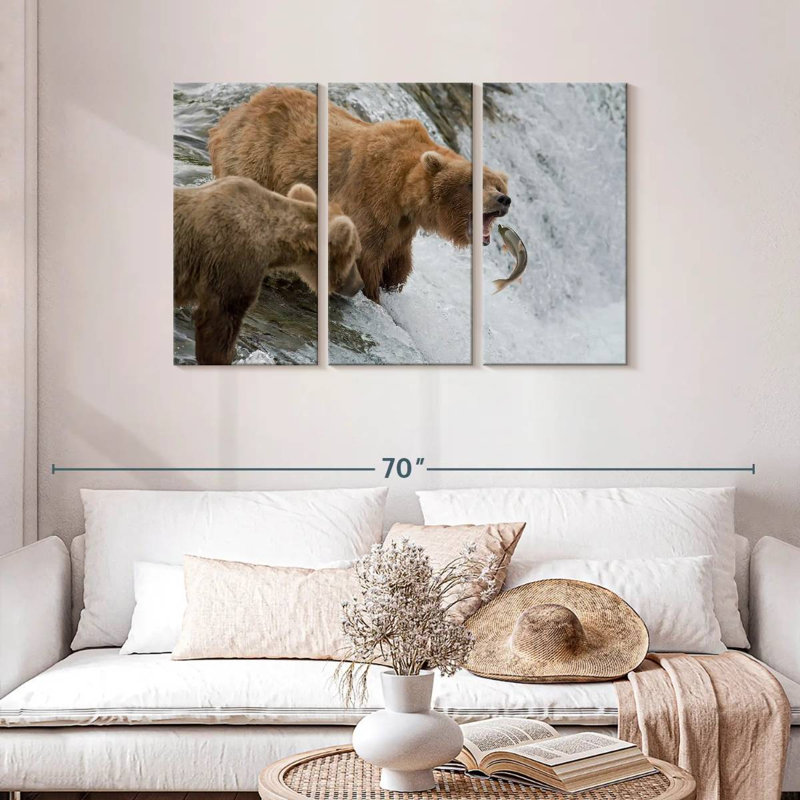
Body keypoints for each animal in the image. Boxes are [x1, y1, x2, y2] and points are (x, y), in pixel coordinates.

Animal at [208, 86, 511, 302]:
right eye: (473, 184)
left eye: (497, 185)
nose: (503, 200)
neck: (405, 193)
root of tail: (232, 114)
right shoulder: (372, 197)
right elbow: (368, 256)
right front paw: (373, 294)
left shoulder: (402, 228)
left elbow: (398, 264)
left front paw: (391, 286)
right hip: (256, 158)